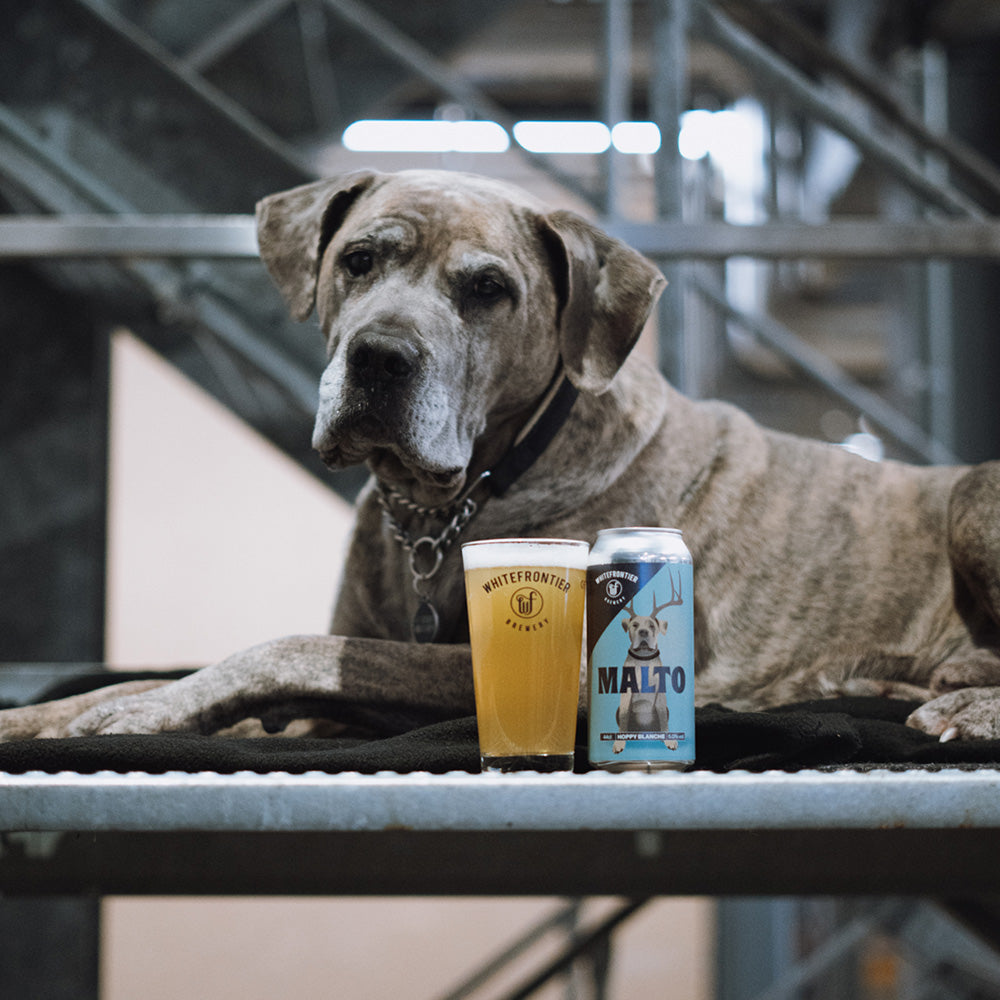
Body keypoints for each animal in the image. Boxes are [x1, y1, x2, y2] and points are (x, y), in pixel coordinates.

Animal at [1, 164, 1000, 744]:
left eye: (487, 289)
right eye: (359, 260)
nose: (380, 358)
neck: (446, 504)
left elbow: (291, 649)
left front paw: (144, 710)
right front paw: (60, 711)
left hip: (972, 502)